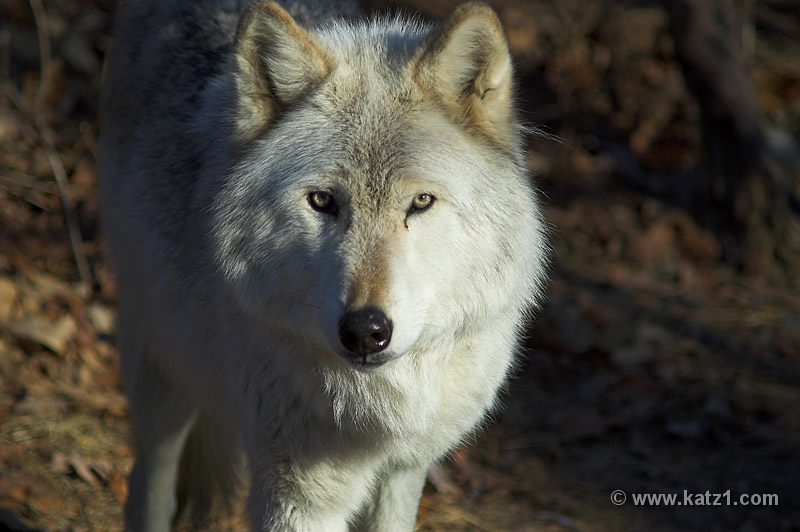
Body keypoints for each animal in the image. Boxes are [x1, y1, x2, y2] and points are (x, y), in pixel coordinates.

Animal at [99, 0, 548, 530]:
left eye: (420, 202)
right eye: (322, 201)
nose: (365, 330)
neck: (374, 409)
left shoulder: (403, 472)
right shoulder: (297, 493)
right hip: (159, 366)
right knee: (148, 484)